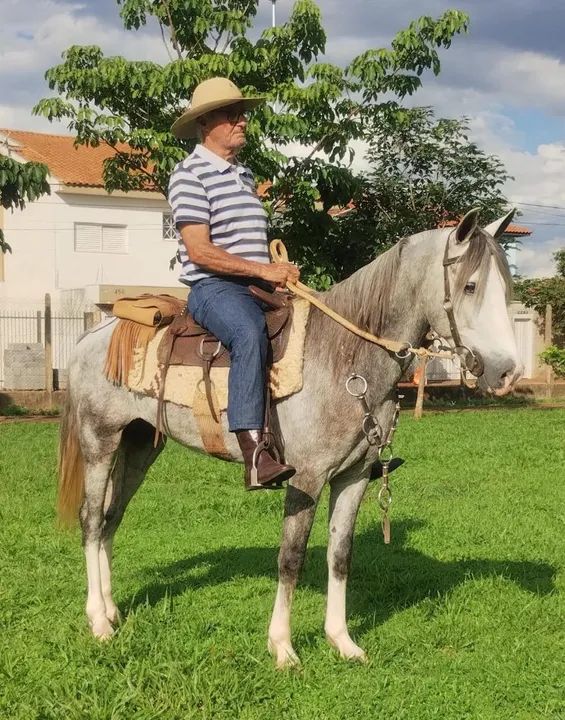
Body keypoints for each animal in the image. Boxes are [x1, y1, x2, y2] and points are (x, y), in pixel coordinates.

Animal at [58, 208, 523, 668]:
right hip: (100, 441)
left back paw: (113, 610)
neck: (342, 356)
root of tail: (89, 338)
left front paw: (342, 641)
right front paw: (282, 646)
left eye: (507, 287)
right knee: (92, 518)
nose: (508, 372)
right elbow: (291, 558)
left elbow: (340, 555)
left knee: (113, 517)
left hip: (139, 445)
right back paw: (98, 621)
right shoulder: (306, 478)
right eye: (470, 285)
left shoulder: (353, 477)